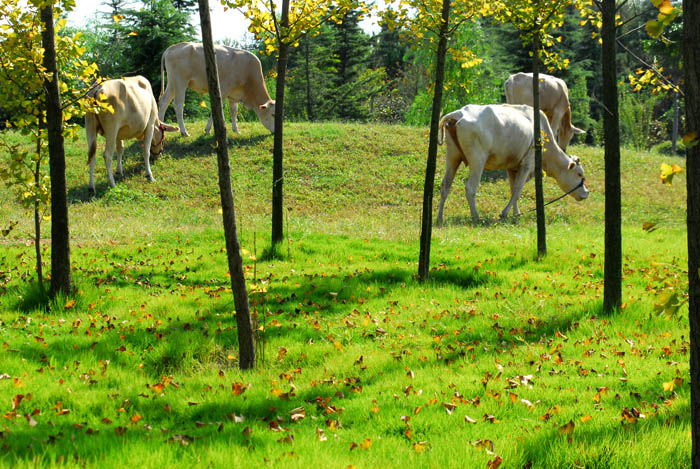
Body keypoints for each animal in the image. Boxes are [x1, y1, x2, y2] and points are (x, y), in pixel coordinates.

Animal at [438, 104, 592, 225]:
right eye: (579, 174)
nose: (586, 193)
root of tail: (459, 113)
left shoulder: (512, 167)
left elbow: (513, 189)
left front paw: (515, 214)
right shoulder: (527, 164)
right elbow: (518, 190)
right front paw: (505, 213)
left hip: (452, 157)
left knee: (445, 186)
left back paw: (440, 217)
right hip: (477, 161)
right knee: (470, 188)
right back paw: (476, 217)